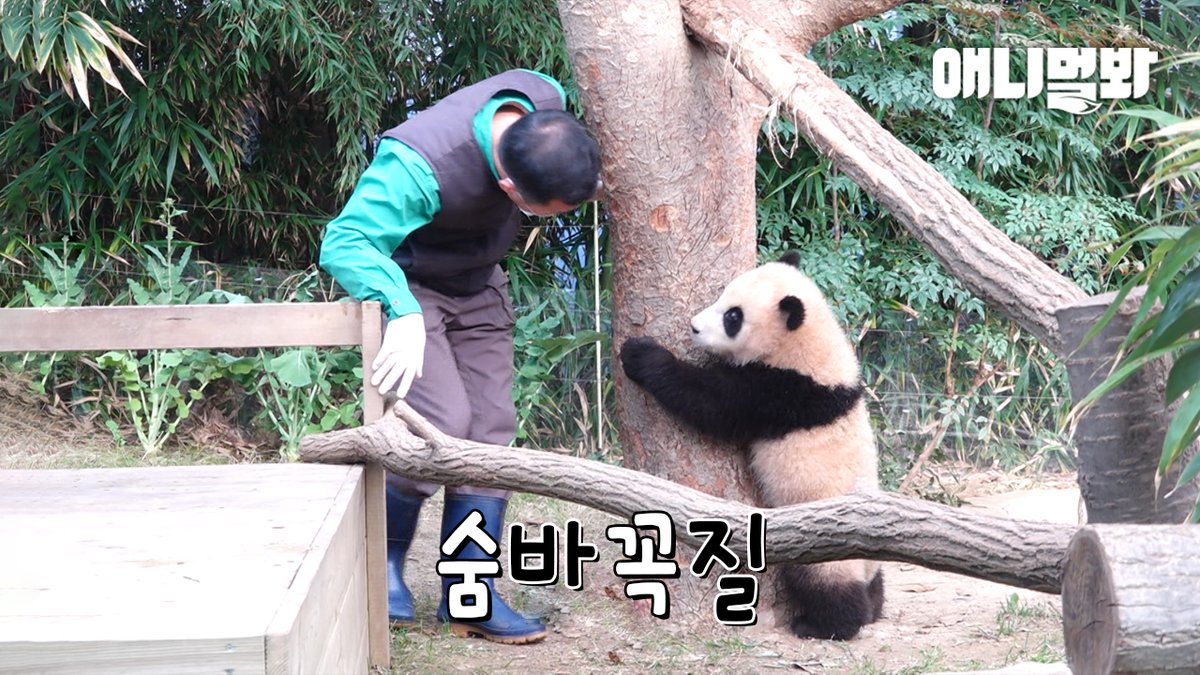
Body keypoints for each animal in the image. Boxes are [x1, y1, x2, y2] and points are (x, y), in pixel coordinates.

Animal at [619, 251, 883, 641]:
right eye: (722, 296)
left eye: (733, 317)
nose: (694, 327)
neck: (810, 343)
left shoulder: (783, 391)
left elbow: (711, 402)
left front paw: (640, 354)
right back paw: (874, 605)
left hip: (820, 545)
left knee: (825, 584)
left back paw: (824, 624)